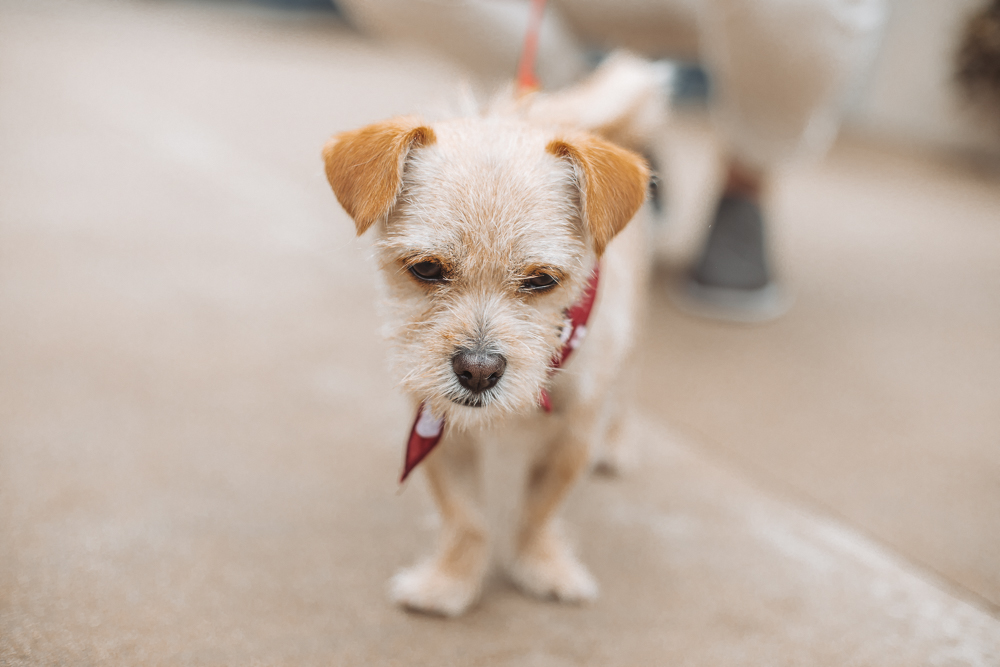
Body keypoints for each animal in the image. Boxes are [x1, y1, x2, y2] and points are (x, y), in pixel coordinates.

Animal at [324, 54, 668, 620]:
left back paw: (618, 443)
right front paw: (450, 581)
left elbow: (539, 509)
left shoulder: (573, 434)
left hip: (633, 339)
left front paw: (541, 566)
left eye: (542, 280)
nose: (478, 371)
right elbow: (467, 517)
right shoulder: (435, 419)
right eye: (426, 269)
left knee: (627, 391)